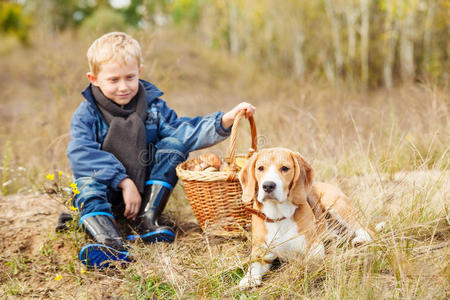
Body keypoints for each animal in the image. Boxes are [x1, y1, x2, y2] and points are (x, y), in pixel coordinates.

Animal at [239, 148, 372, 288]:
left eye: (285, 168)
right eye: (260, 168)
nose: (268, 185)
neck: (278, 216)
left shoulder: (315, 247)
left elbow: (306, 259)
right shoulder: (262, 253)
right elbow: (254, 265)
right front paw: (249, 278)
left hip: (334, 204)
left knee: (365, 229)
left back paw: (361, 240)